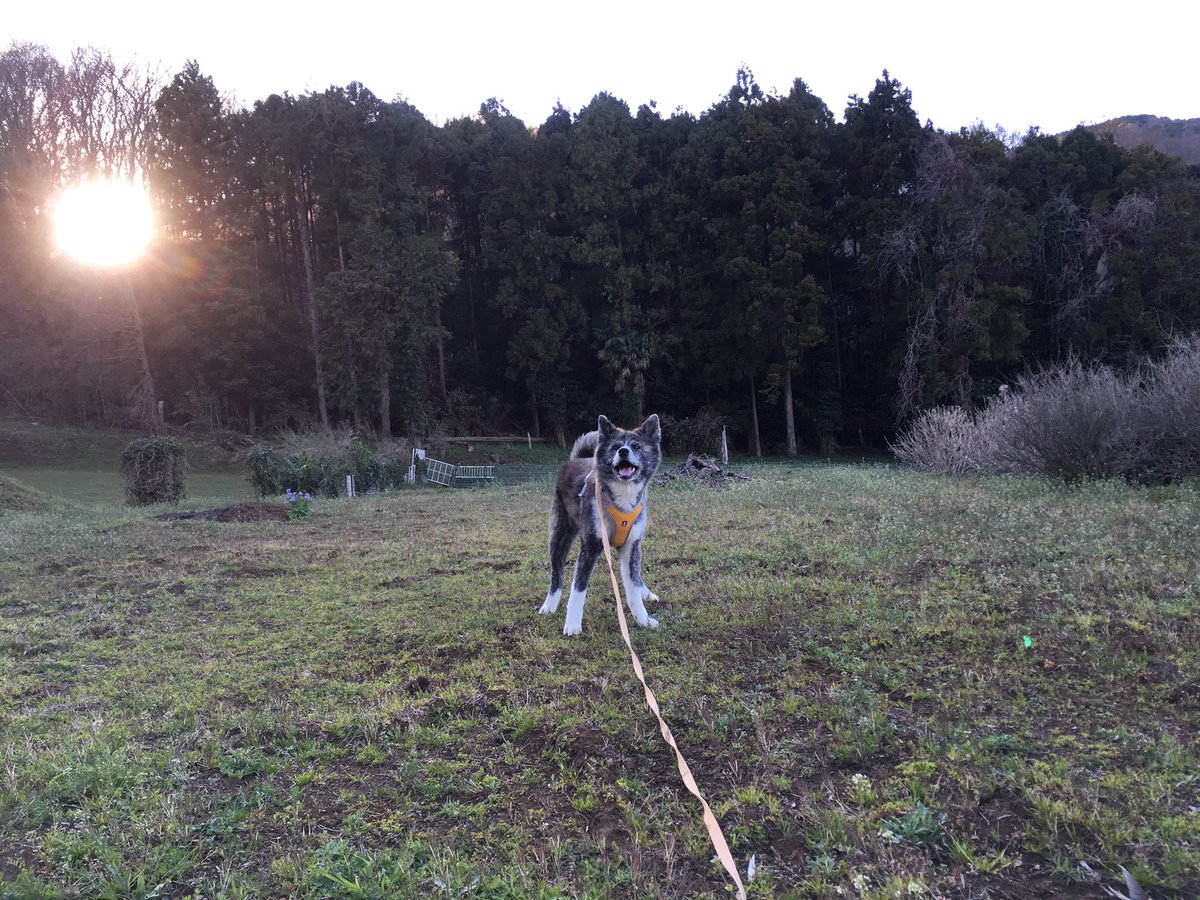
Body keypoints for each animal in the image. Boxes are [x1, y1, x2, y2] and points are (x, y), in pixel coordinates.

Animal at [540, 415, 662, 633]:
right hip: (560, 535)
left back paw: (645, 592)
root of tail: (578, 459)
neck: (621, 500)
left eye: (636, 446)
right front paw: (572, 624)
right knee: (557, 574)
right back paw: (550, 605)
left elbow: (633, 588)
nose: (623, 451)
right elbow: (578, 588)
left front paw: (643, 619)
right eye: (615, 447)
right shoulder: (590, 546)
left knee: (636, 576)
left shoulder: (631, 546)